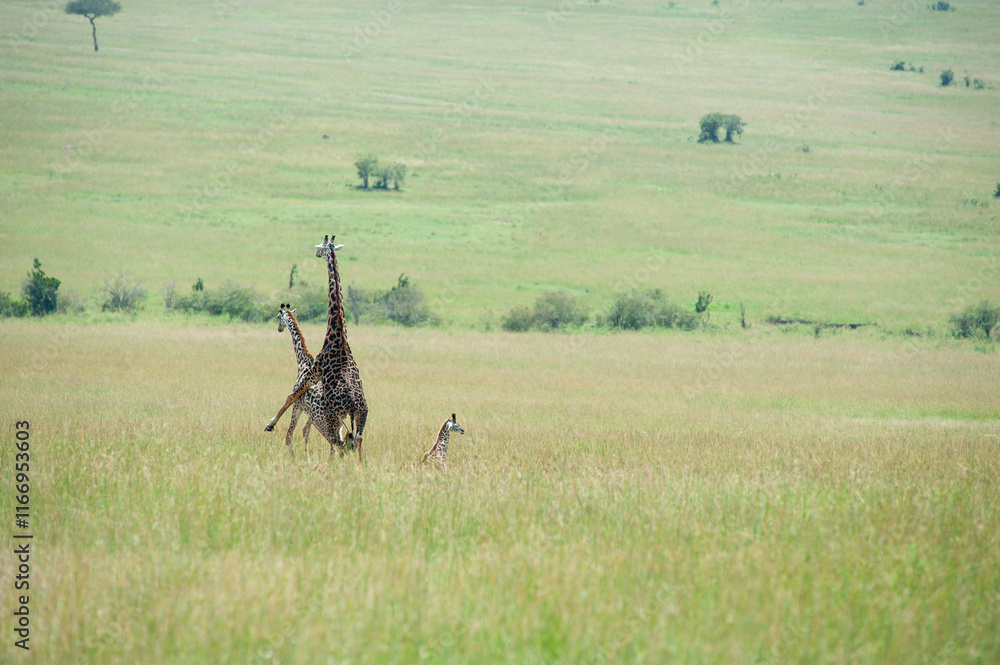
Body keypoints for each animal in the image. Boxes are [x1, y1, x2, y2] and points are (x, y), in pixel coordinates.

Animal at [265, 235, 368, 461]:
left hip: (332, 418)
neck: (338, 335)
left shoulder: (313, 372)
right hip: (361, 416)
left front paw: (269, 424)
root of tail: (352, 404)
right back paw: (358, 464)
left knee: (339, 443)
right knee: (356, 441)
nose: (316, 253)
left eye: (320, 247)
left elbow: (291, 396)